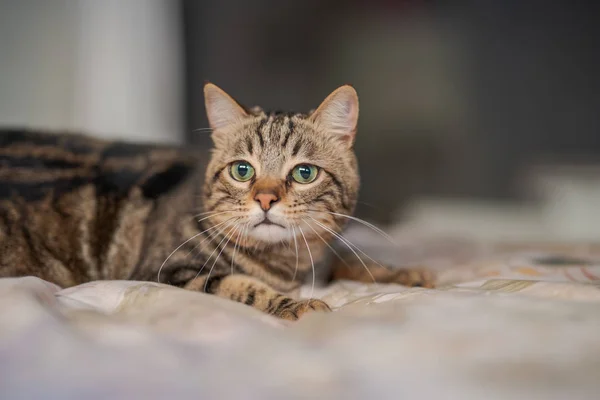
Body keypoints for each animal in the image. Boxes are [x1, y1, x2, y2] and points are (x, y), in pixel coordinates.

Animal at [0, 83, 434, 318]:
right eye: (242, 170)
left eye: (304, 173)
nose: (265, 199)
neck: (287, 265)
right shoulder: (170, 272)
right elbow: (240, 285)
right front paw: (294, 305)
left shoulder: (324, 256)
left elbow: (351, 261)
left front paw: (404, 273)